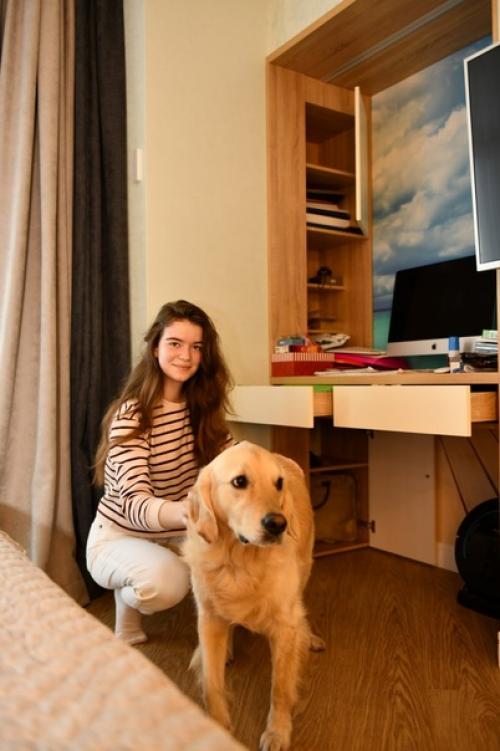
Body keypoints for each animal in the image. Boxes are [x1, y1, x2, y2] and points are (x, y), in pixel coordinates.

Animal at [183, 441, 325, 751]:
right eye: (239, 481)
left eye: (278, 483)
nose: (278, 524)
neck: (240, 562)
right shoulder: (208, 617)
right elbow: (212, 684)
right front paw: (217, 727)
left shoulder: (284, 625)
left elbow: (280, 687)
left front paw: (277, 732)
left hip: (306, 568)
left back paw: (308, 636)